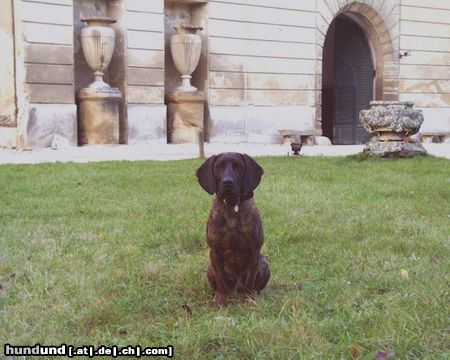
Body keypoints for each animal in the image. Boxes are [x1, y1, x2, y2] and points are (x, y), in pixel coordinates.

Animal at [195, 152, 268, 306]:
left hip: (264, 264)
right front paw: (221, 301)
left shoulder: (254, 252)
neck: (232, 205)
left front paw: (249, 300)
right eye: (218, 167)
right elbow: (220, 281)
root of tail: (236, 288)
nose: (227, 182)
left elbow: (250, 281)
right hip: (209, 268)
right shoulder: (215, 252)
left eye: (238, 167)